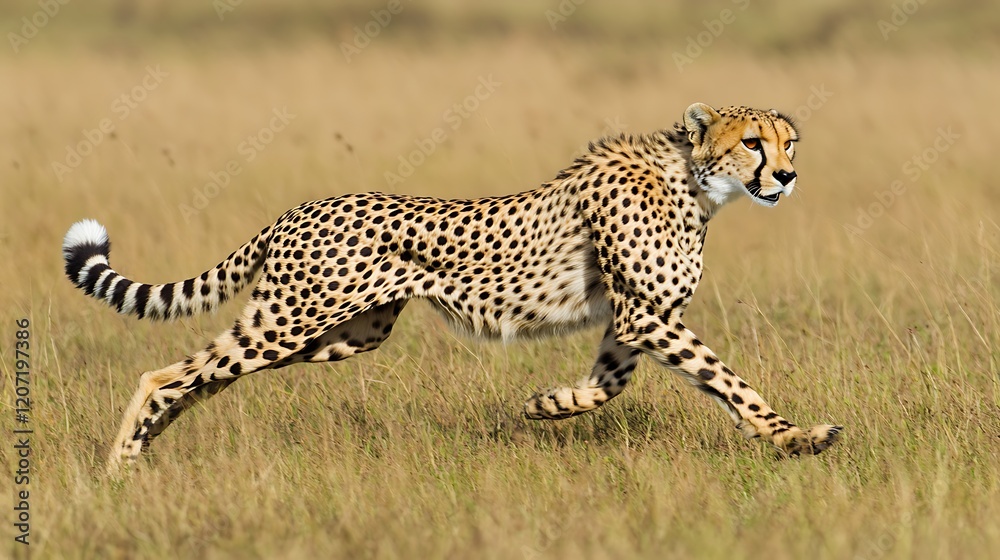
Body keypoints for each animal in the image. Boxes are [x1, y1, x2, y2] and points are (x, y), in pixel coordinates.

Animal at [62, 102, 842, 474]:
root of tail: (297, 209)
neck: (693, 180)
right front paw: (798, 435)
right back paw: (119, 464)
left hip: (342, 334)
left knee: (199, 377)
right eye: (753, 142)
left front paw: (548, 404)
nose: (788, 175)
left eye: (790, 141)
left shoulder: (630, 322)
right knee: (166, 373)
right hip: (291, 322)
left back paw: (143, 452)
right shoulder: (647, 315)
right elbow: (731, 381)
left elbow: (607, 385)